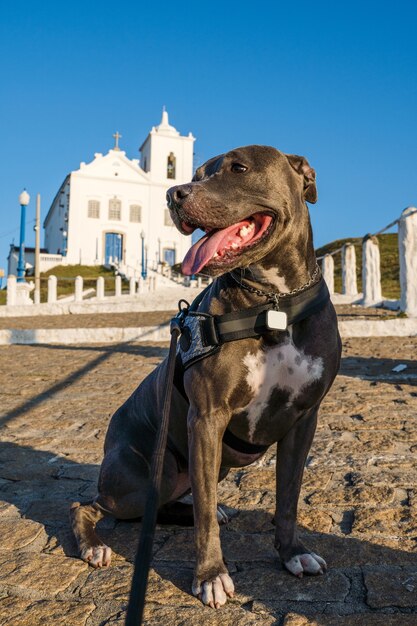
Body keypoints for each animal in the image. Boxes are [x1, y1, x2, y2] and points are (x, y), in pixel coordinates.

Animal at [70, 145, 340, 604]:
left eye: (239, 168)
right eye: (195, 176)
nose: (174, 194)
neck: (274, 302)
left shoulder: (304, 419)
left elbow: (288, 498)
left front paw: (293, 553)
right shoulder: (208, 418)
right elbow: (206, 520)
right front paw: (211, 574)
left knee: (180, 504)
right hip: (148, 475)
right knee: (88, 506)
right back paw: (94, 546)